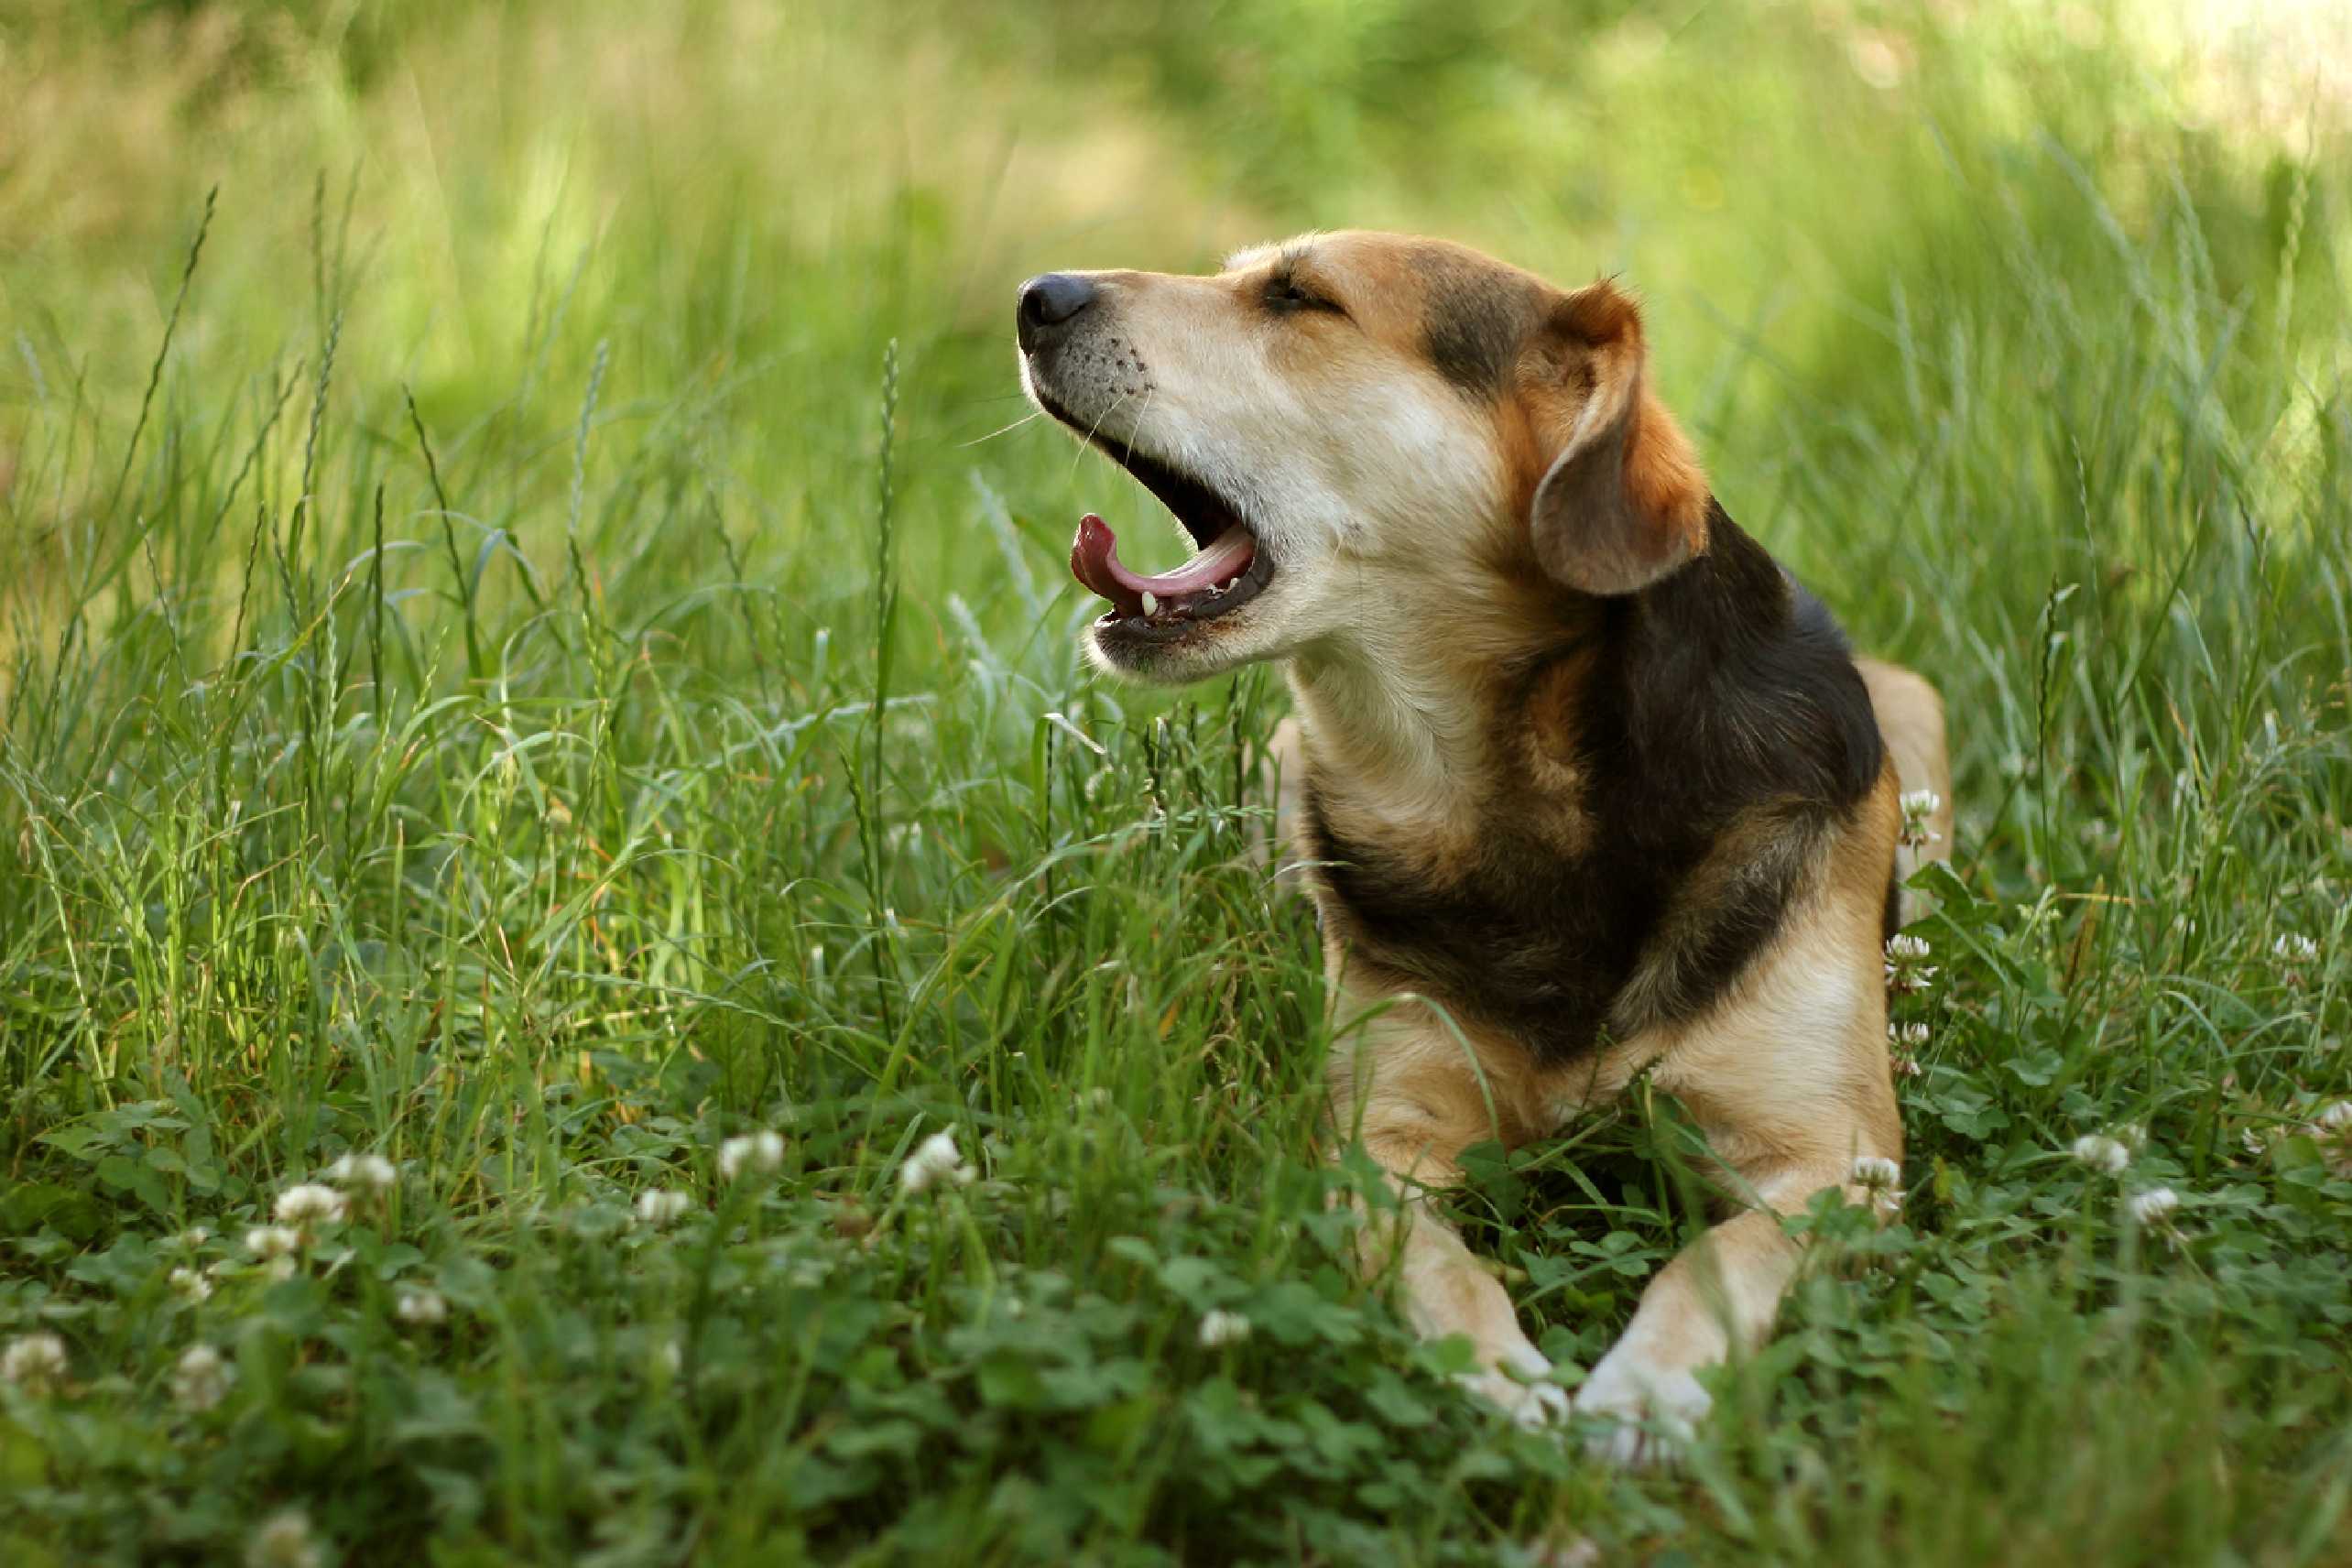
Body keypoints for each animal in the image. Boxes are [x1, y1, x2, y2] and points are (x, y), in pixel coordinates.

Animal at [1020, 230, 1956, 1457]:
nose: (1034, 296)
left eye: (1299, 295)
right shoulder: (1380, 1137)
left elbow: (1717, 1261)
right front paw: (1500, 1382)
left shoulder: (1835, 1157)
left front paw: (1644, 1390)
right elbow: (1439, 1269)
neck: (1514, 796)